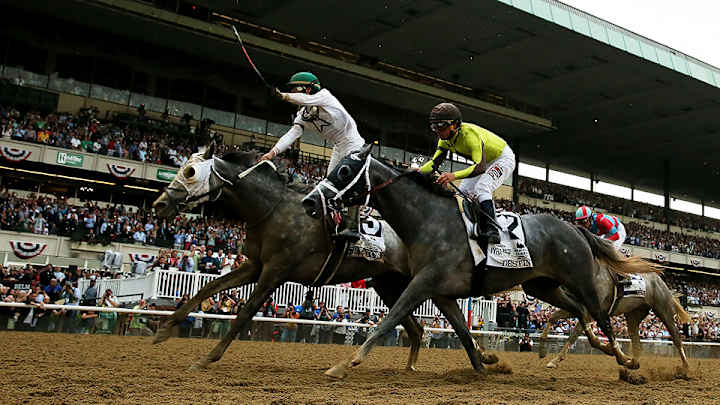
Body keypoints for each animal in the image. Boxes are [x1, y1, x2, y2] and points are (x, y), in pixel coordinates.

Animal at [151, 145, 498, 370]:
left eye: (190, 172)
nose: (159, 204)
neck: (272, 208)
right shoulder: (255, 265)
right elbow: (207, 288)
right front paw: (164, 329)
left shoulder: (276, 270)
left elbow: (246, 311)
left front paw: (208, 357)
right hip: (388, 282)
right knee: (415, 328)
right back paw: (411, 366)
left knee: (418, 324)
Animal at [301, 145, 659, 378]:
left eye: (344, 171)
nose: (309, 202)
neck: (428, 219)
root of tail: (574, 227)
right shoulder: (442, 292)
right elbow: (462, 330)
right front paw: (485, 365)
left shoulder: (422, 284)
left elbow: (388, 320)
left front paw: (344, 365)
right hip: (541, 286)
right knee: (580, 312)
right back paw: (593, 351)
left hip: (581, 278)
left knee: (601, 316)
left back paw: (627, 361)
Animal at [537, 272, 690, 371]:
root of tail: (662, 283)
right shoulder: (577, 308)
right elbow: (552, 318)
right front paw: (543, 349)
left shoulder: (587, 313)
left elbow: (574, 336)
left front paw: (555, 360)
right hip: (633, 315)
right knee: (636, 342)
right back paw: (631, 362)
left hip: (663, 310)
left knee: (676, 337)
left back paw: (685, 367)